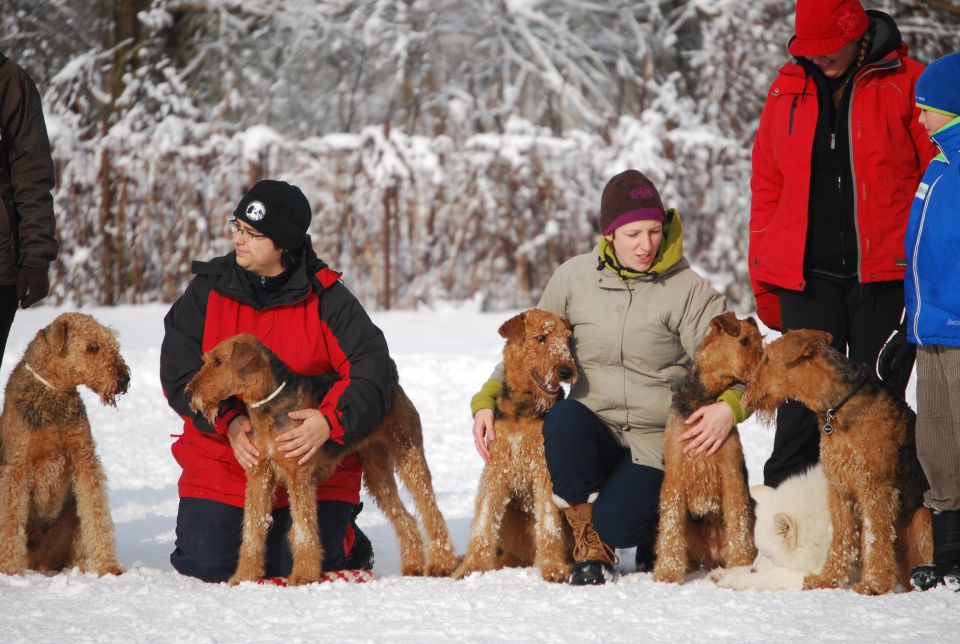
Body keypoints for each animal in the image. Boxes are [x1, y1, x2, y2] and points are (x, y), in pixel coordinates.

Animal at [189, 334, 460, 588]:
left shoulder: (299, 475)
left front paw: (303, 575)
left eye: (218, 361)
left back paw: (441, 563)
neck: (269, 405)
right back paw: (413, 564)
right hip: (377, 473)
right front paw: (244, 576)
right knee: (405, 517)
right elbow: (253, 528)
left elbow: (303, 528)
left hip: (408, 453)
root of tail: (393, 379)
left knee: (430, 509)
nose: (189, 392)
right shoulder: (259, 475)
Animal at [454, 310, 572, 580]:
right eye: (541, 337)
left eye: (567, 339)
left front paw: (553, 567)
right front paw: (471, 567)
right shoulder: (497, 467)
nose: (566, 371)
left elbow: (549, 522)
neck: (525, 409)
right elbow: (484, 520)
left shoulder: (543, 469)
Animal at [656, 312, 760, 584]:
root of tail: (713, 556)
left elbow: (738, 522)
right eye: (745, 341)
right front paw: (666, 572)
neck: (703, 399)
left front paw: (740, 565)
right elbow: (670, 525)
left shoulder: (731, 473)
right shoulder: (675, 474)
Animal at [744, 330, 928, 596]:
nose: (746, 395)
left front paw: (873, 585)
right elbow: (841, 539)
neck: (838, 407)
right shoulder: (840, 487)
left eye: (767, 359)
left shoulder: (875, 488)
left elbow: (875, 539)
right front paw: (826, 580)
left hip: (922, 519)